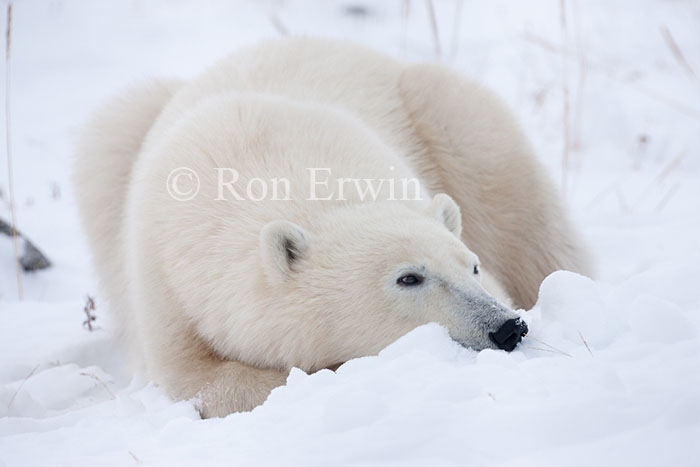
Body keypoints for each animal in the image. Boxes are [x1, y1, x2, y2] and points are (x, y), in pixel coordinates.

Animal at [73, 38, 591, 418]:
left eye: (473, 267)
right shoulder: (167, 284)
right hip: (120, 142)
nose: (506, 328)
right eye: (409, 277)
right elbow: (198, 378)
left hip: (440, 110)